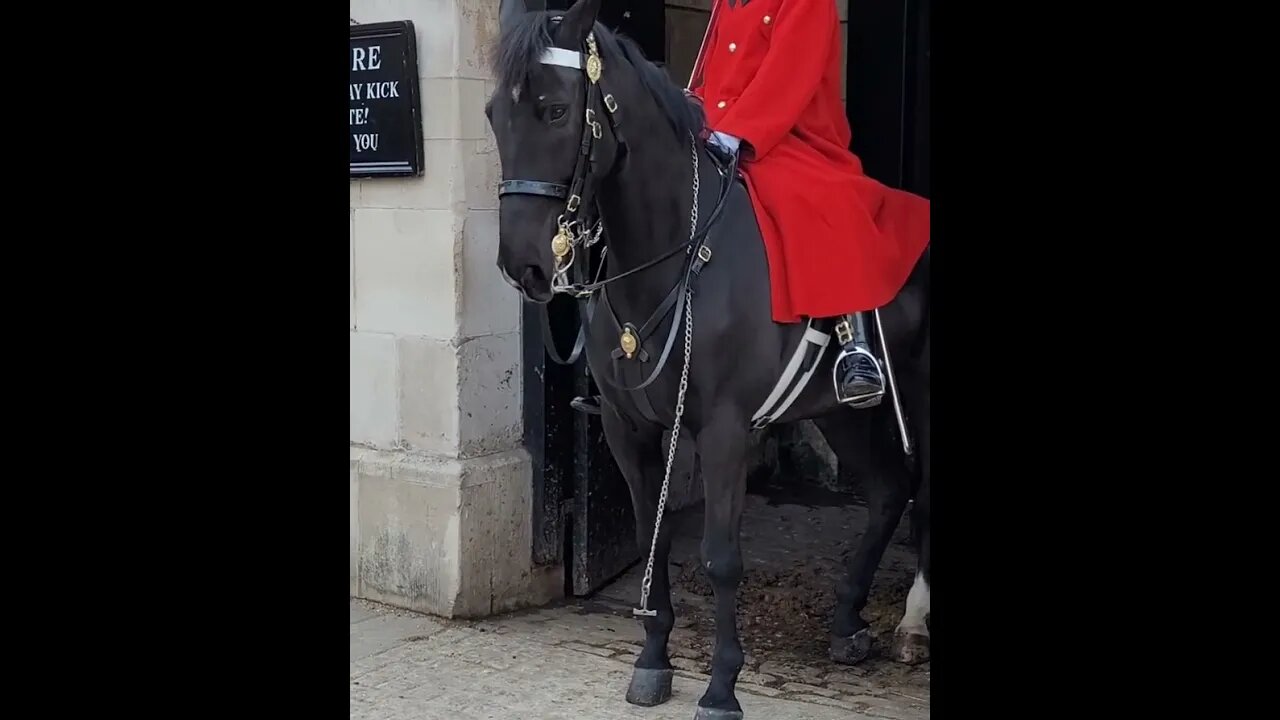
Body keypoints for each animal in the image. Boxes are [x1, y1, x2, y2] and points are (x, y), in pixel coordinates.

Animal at [488, 2, 931, 712]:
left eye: (555, 110)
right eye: (493, 115)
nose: (523, 264)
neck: (671, 256)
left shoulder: (724, 431)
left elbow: (722, 556)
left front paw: (722, 685)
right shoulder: (630, 431)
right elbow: (653, 534)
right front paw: (652, 661)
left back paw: (914, 622)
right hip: (839, 409)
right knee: (890, 490)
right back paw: (846, 622)